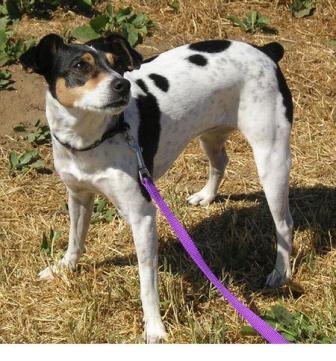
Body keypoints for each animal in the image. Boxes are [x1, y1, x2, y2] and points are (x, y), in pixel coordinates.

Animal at [20, 32, 294, 342]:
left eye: (118, 65)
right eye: (80, 66)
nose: (122, 84)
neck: (92, 139)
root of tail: (265, 51)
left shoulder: (143, 217)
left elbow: (147, 282)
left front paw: (154, 328)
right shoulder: (78, 195)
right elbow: (75, 239)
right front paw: (63, 267)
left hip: (271, 159)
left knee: (284, 223)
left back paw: (280, 272)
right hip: (210, 135)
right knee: (220, 161)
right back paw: (206, 196)